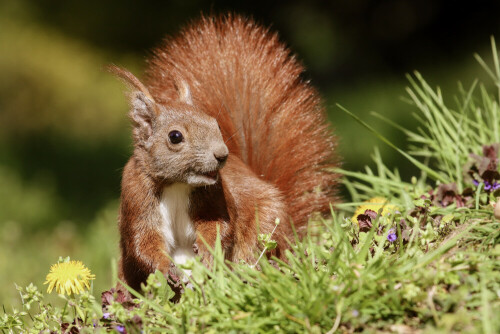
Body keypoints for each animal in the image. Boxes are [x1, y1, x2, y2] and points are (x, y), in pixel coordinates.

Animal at [110, 15, 340, 292]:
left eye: (215, 123)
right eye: (175, 137)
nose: (222, 155)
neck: (177, 185)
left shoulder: (216, 198)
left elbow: (219, 227)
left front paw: (209, 253)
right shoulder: (137, 199)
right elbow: (143, 244)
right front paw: (166, 269)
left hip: (264, 228)